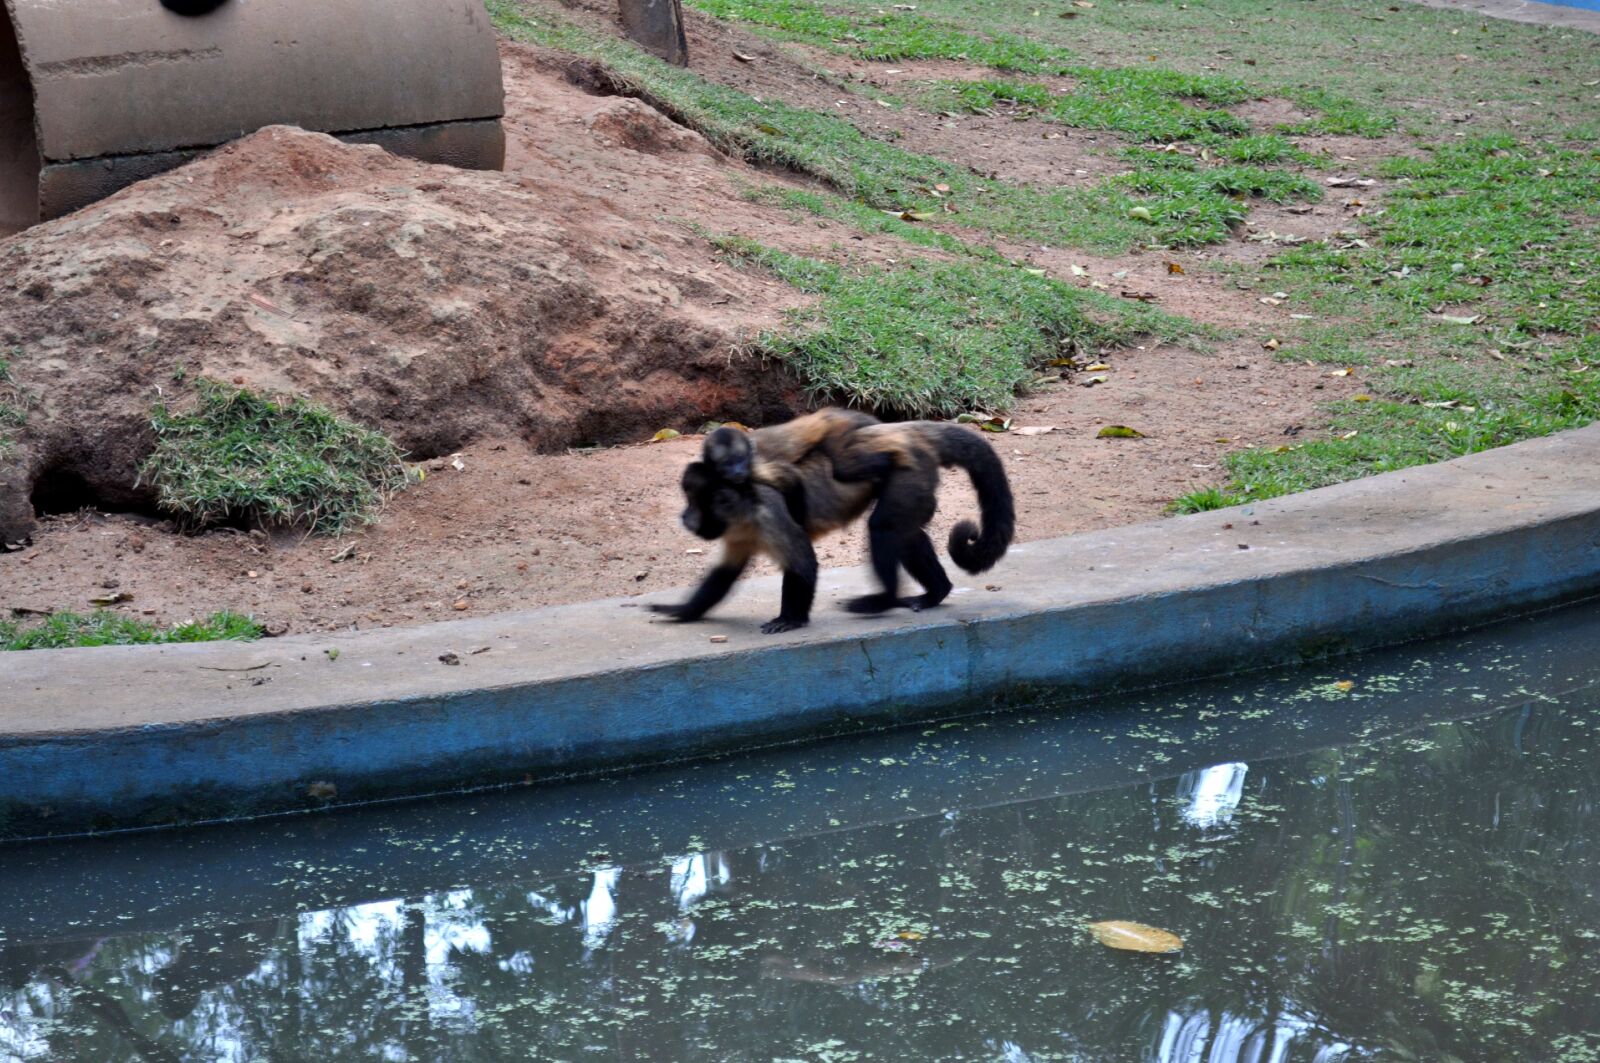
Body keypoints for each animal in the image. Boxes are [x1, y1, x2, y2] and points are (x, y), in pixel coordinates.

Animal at [649, 409, 880, 634]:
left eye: (693, 503)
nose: (685, 516)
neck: (744, 515)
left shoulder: (769, 511)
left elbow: (803, 564)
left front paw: (790, 620)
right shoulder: (737, 533)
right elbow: (725, 573)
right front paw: (684, 610)